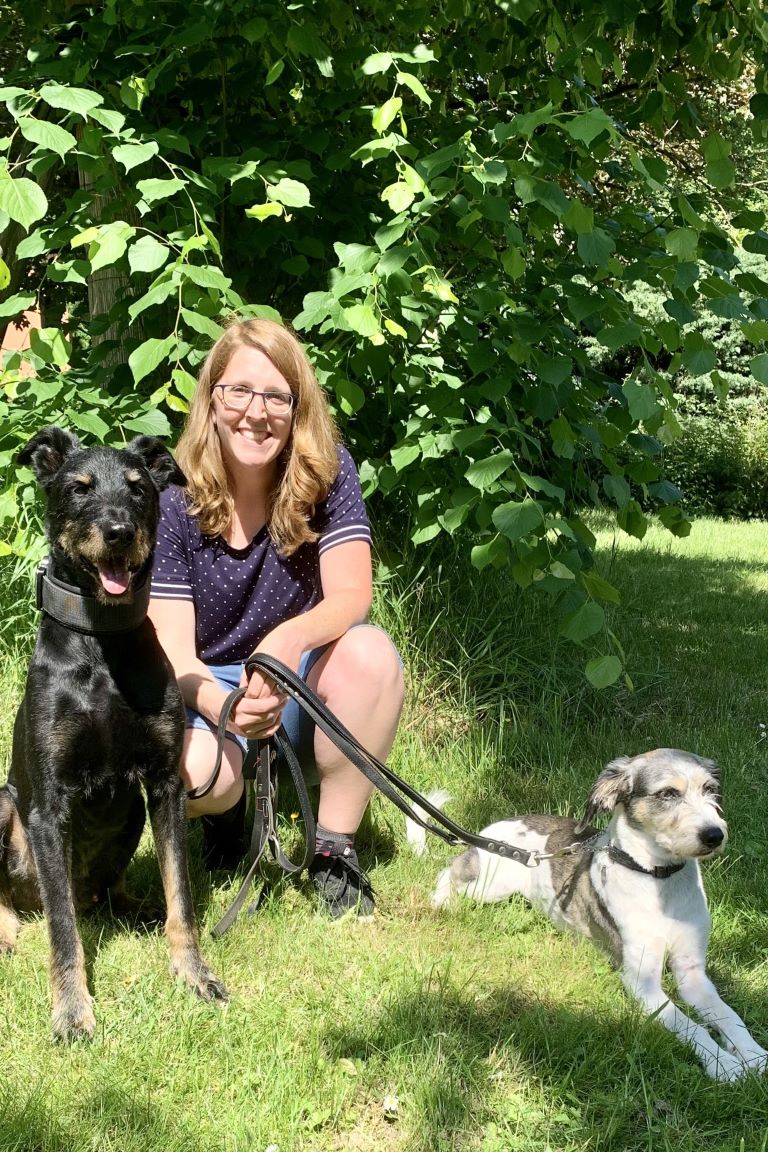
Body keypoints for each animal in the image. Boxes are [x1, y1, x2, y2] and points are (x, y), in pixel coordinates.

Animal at [0, 428, 226, 1041]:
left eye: (139, 489)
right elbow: (63, 931)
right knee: (34, 901)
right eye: (79, 488)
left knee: (110, 890)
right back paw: (7, 930)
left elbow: (182, 896)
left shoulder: (165, 785)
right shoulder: (48, 806)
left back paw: (133, 907)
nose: (119, 532)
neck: (102, 642)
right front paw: (72, 1010)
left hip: (130, 817)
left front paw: (192, 972)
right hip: (3, 806)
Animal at [416, 746, 764, 1078]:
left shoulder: (692, 972)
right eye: (667, 794)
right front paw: (725, 1065)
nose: (715, 835)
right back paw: (439, 901)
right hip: (491, 885)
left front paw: (754, 1055)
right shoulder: (642, 982)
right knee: (449, 872)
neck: (659, 881)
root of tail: (487, 832)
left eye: (710, 789)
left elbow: (729, 1017)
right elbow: (690, 1026)